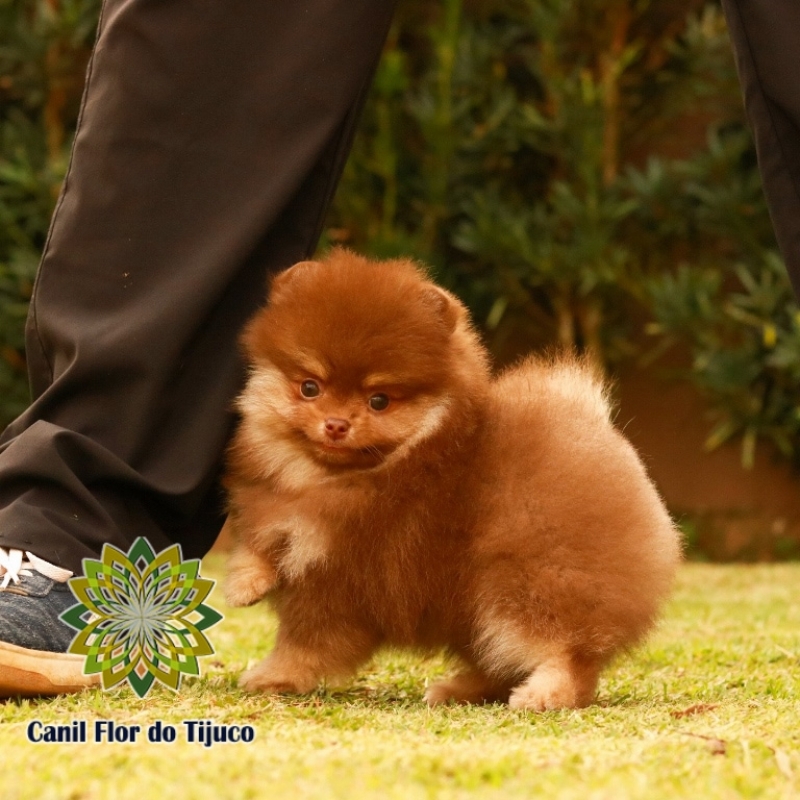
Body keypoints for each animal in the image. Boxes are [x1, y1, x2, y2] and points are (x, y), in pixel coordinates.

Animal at [225, 247, 680, 708]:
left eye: (379, 401)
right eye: (309, 387)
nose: (336, 424)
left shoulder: (339, 581)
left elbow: (305, 643)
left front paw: (272, 677)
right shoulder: (277, 511)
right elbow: (260, 542)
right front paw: (245, 582)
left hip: (530, 582)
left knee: (571, 652)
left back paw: (546, 693)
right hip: (477, 608)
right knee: (498, 658)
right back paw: (461, 689)